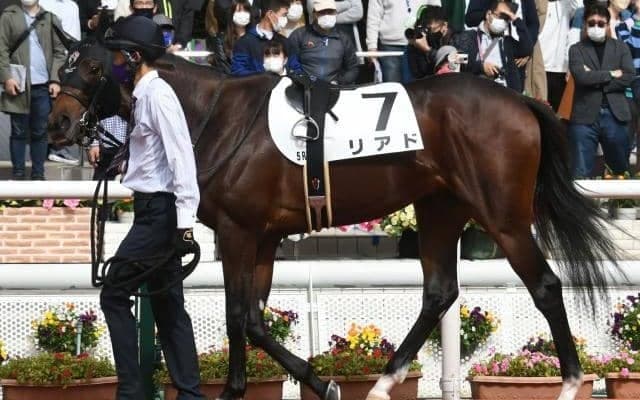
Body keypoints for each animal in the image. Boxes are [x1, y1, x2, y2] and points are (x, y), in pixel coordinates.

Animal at [48, 41, 622, 400]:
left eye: (93, 68)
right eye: (65, 65)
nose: (56, 122)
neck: (216, 115)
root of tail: (522, 101)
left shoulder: (237, 232)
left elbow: (237, 317)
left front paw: (259, 388)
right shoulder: (263, 238)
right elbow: (253, 319)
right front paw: (316, 382)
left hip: (503, 217)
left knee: (545, 285)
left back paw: (571, 382)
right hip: (439, 208)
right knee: (439, 292)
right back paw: (384, 384)